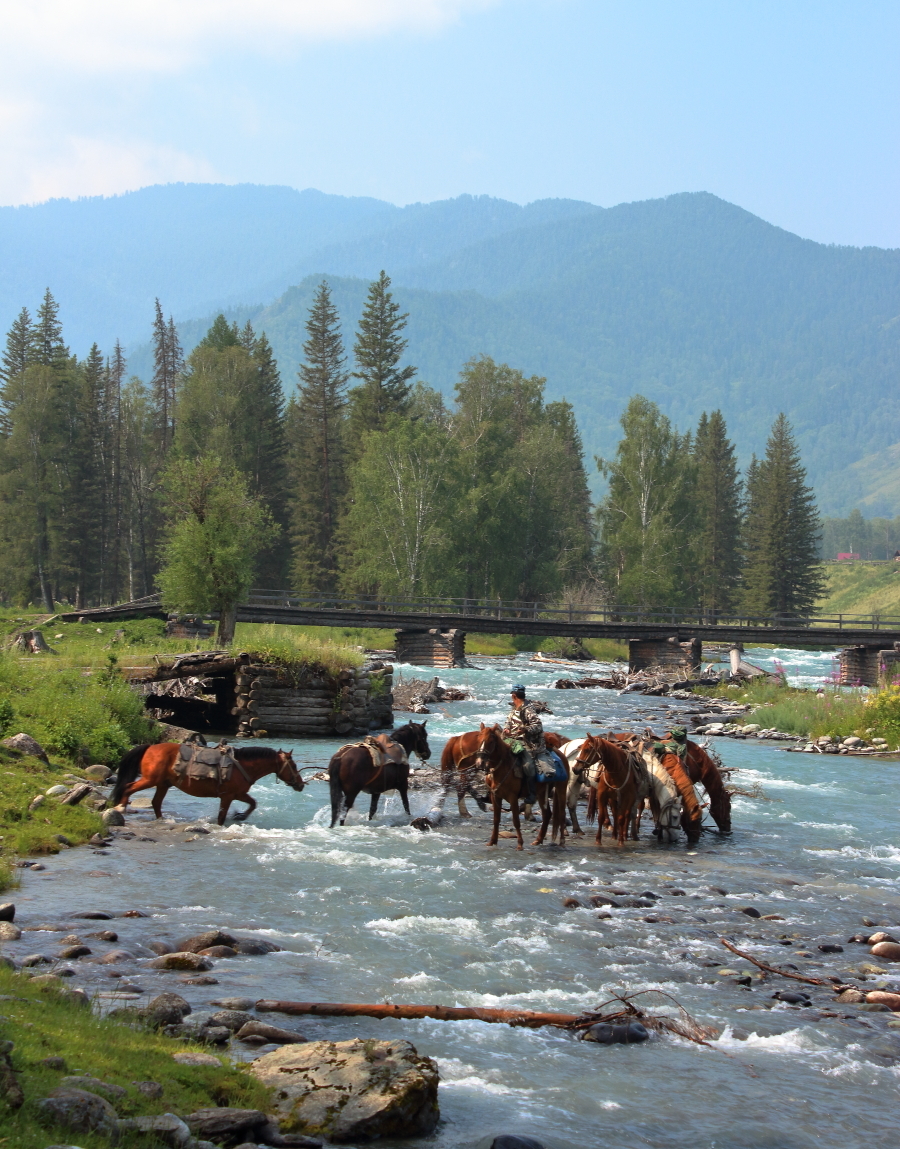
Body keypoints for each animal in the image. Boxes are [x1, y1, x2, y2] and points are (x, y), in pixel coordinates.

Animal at [108, 744, 305, 827]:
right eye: (294, 766)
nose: (301, 785)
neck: (241, 765)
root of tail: (149, 747)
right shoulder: (227, 796)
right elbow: (221, 817)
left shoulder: (239, 794)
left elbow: (253, 803)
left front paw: (240, 815)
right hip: (150, 780)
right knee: (128, 788)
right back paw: (120, 808)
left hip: (163, 784)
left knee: (156, 803)